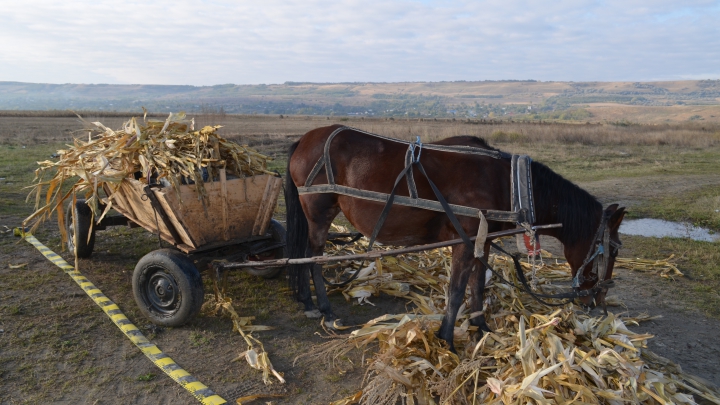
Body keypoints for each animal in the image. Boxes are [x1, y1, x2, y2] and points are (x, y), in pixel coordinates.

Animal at [284, 124, 628, 352]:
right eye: (612, 250)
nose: (597, 302)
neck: (508, 184)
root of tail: (304, 139)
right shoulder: (464, 241)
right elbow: (456, 290)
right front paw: (447, 339)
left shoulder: (482, 241)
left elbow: (477, 285)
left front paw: (481, 326)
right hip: (319, 213)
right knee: (313, 256)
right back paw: (324, 308)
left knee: (302, 254)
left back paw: (307, 301)